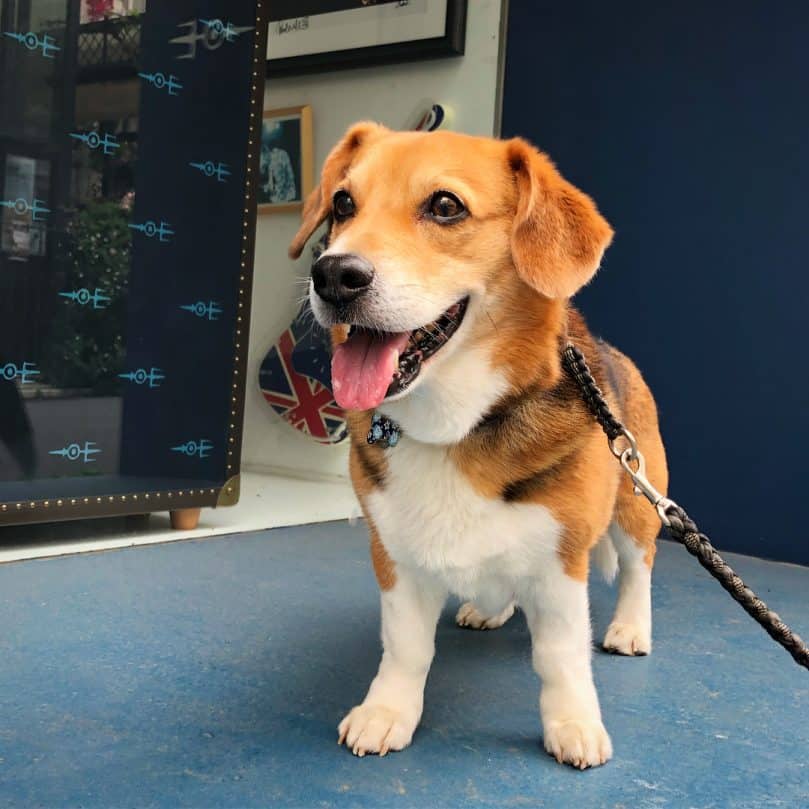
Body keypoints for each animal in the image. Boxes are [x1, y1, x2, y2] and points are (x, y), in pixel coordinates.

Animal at [288, 123, 664, 768]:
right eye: (342, 203)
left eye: (445, 206)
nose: (333, 275)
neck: (455, 427)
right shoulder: (394, 555)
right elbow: (405, 648)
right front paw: (388, 712)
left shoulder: (561, 563)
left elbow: (560, 658)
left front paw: (572, 723)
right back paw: (489, 609)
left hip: (637, 503)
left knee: (638, 569)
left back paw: (630, 629)